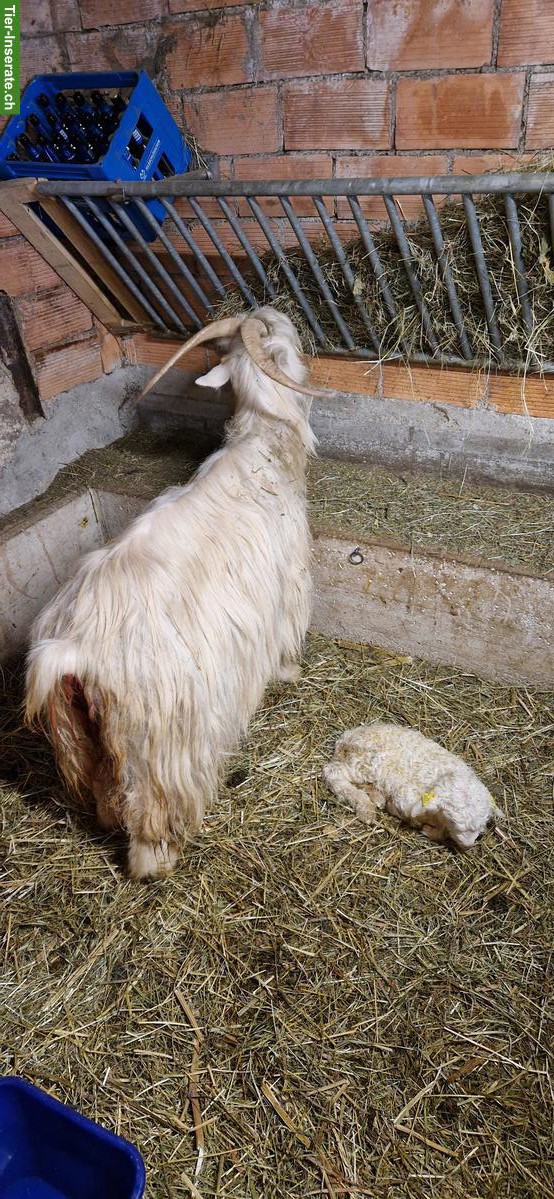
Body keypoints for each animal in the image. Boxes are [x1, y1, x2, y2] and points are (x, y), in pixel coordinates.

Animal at [26, 307, 323, 880]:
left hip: (78, 739)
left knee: (103, 796)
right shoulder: (285, 588)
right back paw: (156, 865)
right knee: (149, 820)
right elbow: (282, 639)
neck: (263, 447)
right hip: (159, 746)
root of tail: (70, 650)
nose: (284, 312)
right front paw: (288, 673)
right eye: (280, 336)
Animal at [323, 722, 503, 848]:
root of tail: (348, 735)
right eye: (453, 821)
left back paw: (377, 798)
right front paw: (424, 827)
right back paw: (365, 808)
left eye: (481, 826)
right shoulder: (406, 798)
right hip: (364, 764)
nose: (468, 845)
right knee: (332, 773)